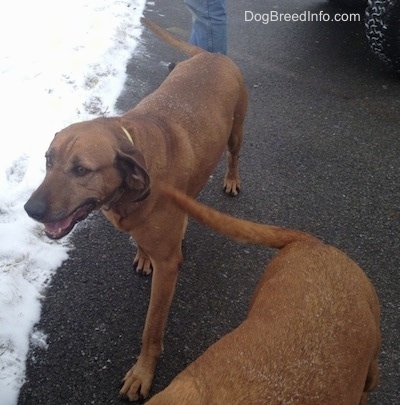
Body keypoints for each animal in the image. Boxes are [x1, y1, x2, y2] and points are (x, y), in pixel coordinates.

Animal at [24, 17, 247, 400]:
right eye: (48, 161)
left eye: (81, 170)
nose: (30, 209)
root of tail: (211, 55)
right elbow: (143, 242)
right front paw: (143, 255)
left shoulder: (169, 268)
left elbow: (151, 330)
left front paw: (143, 373)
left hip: (236, 132)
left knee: (233, 156)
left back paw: (231, 178)